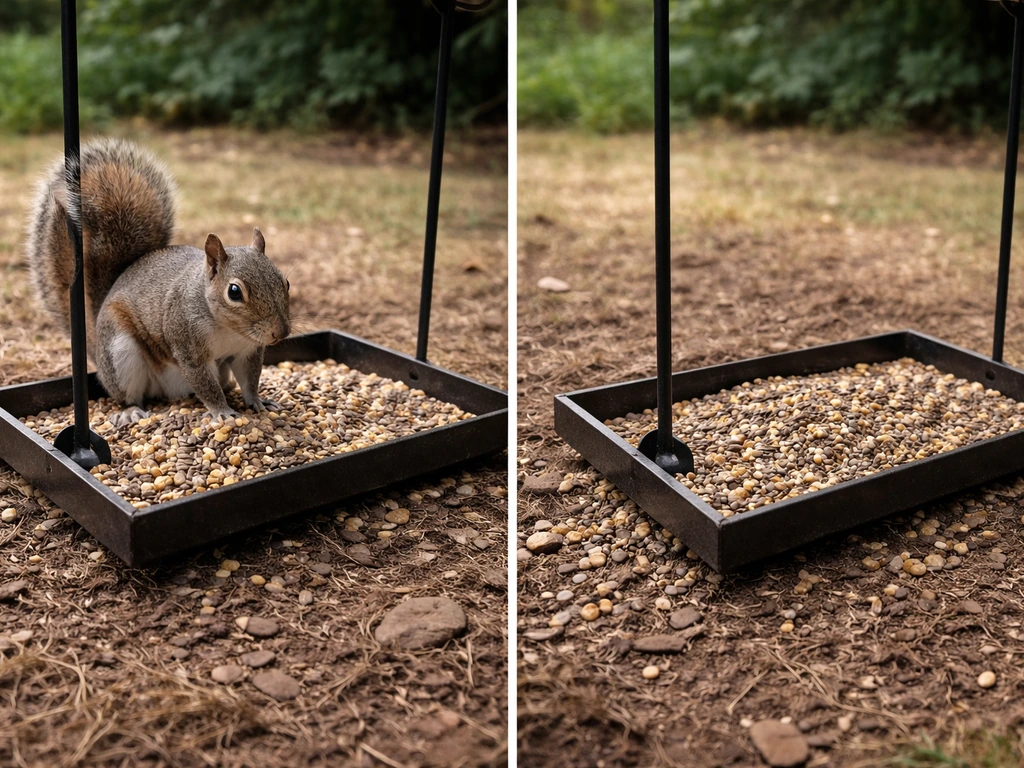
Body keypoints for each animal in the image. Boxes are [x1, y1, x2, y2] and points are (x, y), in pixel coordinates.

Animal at [26, 138, 291, 428]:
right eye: (234, 291)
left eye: (286, 282)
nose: (281, 333)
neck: (229, 329)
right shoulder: (187, 346)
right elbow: (206, 385)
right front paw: (222, 412)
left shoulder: (248, 351)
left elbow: (249, 379)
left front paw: (258, 402)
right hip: (121, 354)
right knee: (128, 394)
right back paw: (130, 410)